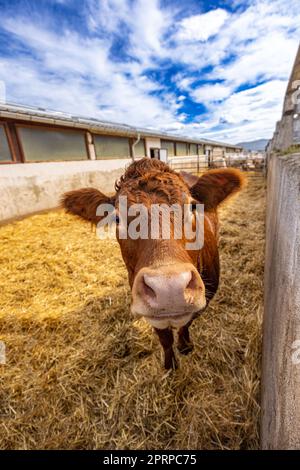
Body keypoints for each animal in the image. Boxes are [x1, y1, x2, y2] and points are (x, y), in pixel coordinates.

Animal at [62, 160, 245, 370]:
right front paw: (169, 364)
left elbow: (185, 323)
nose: (169, 289)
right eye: (117, 218)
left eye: (192, 207)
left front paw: (185, 346)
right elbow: (164, 337)